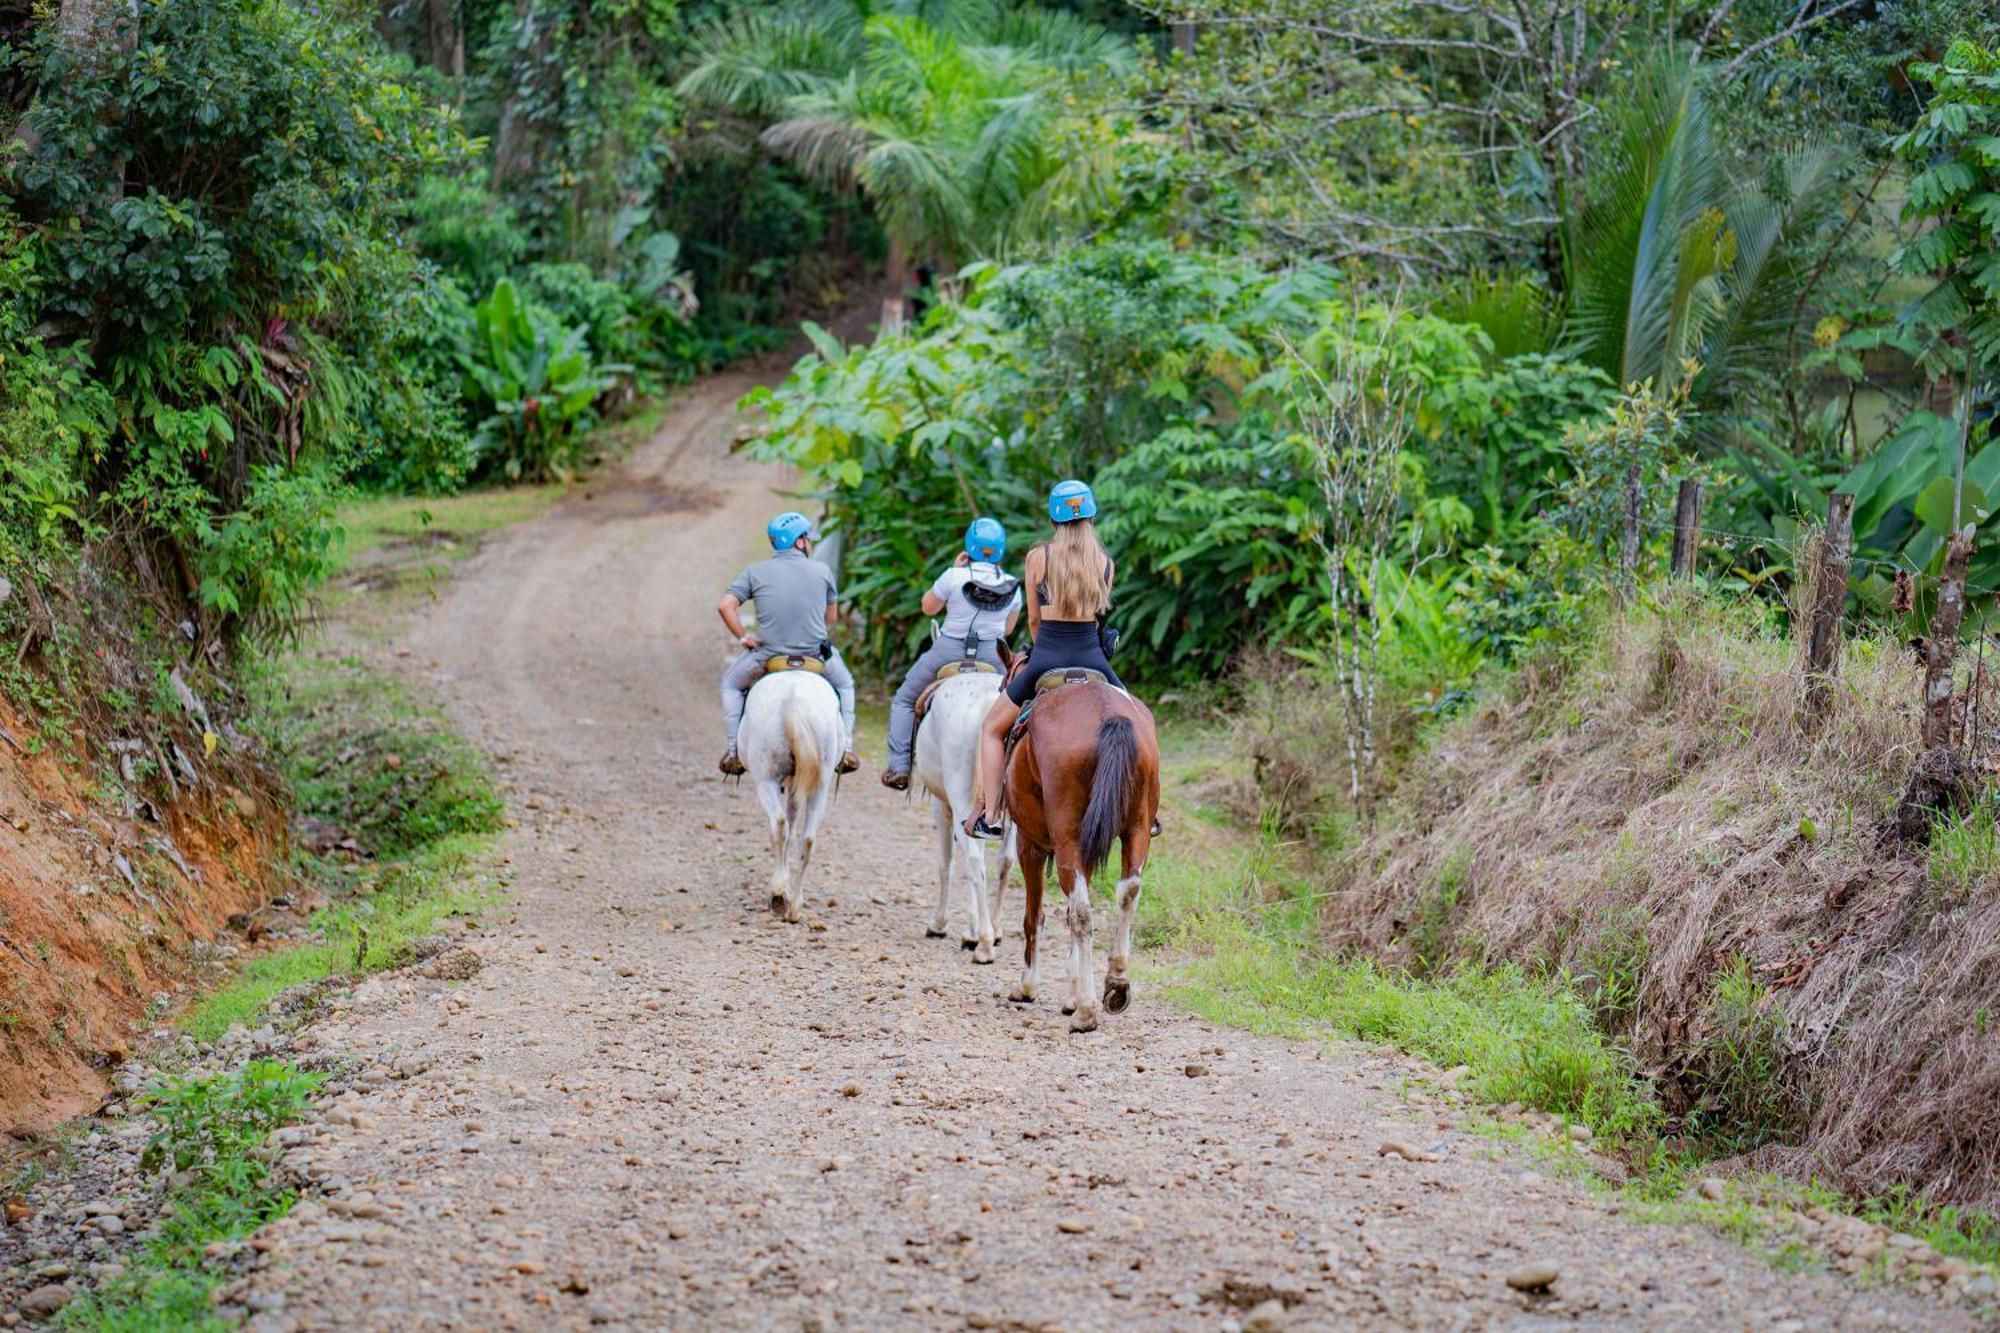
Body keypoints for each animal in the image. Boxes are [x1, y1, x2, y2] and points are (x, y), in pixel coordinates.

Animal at [740, 668, 840, 920]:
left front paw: (780, 886)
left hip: (766, 779)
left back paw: (778, 896)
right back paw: (795, 906)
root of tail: (793, 701)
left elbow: (784, 827)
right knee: (808, 838)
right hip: (821, 785)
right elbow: (794, 825)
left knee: (778, 824)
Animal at [916, 668, 1024, 960]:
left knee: (975, 860)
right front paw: (973, 930)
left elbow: (947, 864)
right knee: (1004, 861)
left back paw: (985, 943)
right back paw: (994, 931)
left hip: (960, 797)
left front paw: (942, 925)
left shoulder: (942, 807)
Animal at [996, 668, 1160, 1032]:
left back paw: (1087, 1010)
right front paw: (1072, 992)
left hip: (1068, 838)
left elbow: (1034, 917)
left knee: (1083, 913)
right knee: (1128, 891)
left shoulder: (1030, 844)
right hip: (1137, 829)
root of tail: (1107, 713)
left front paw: (1028, 987)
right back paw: (1116, 983)